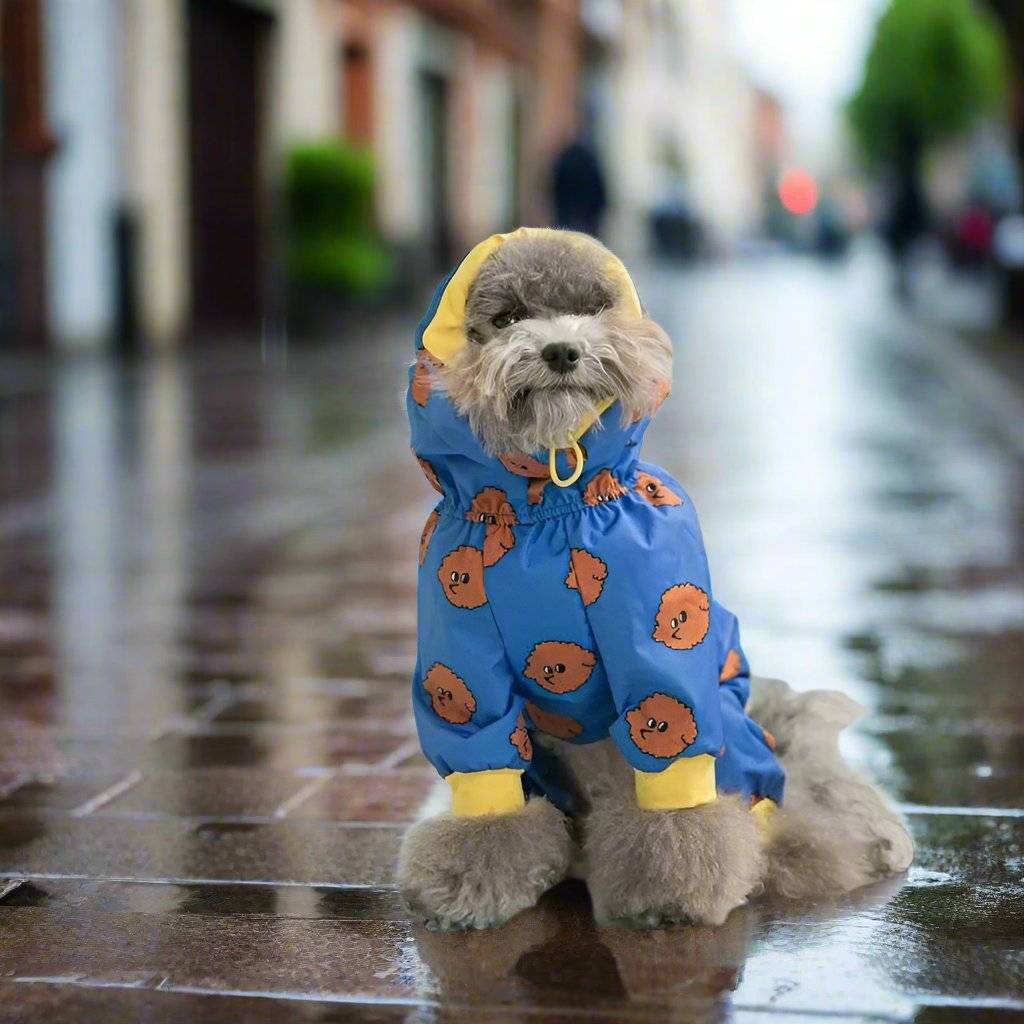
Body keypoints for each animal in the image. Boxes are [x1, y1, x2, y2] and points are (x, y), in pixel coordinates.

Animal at [397, 230, 913, 929]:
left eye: (594, 309)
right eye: (506, 320)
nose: (563, 350)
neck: (544, 514)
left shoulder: (661, 656)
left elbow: (674, 788)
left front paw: (671, 891)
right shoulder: (462, 666)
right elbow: (481, 761)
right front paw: (469, 877)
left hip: (731, 741)